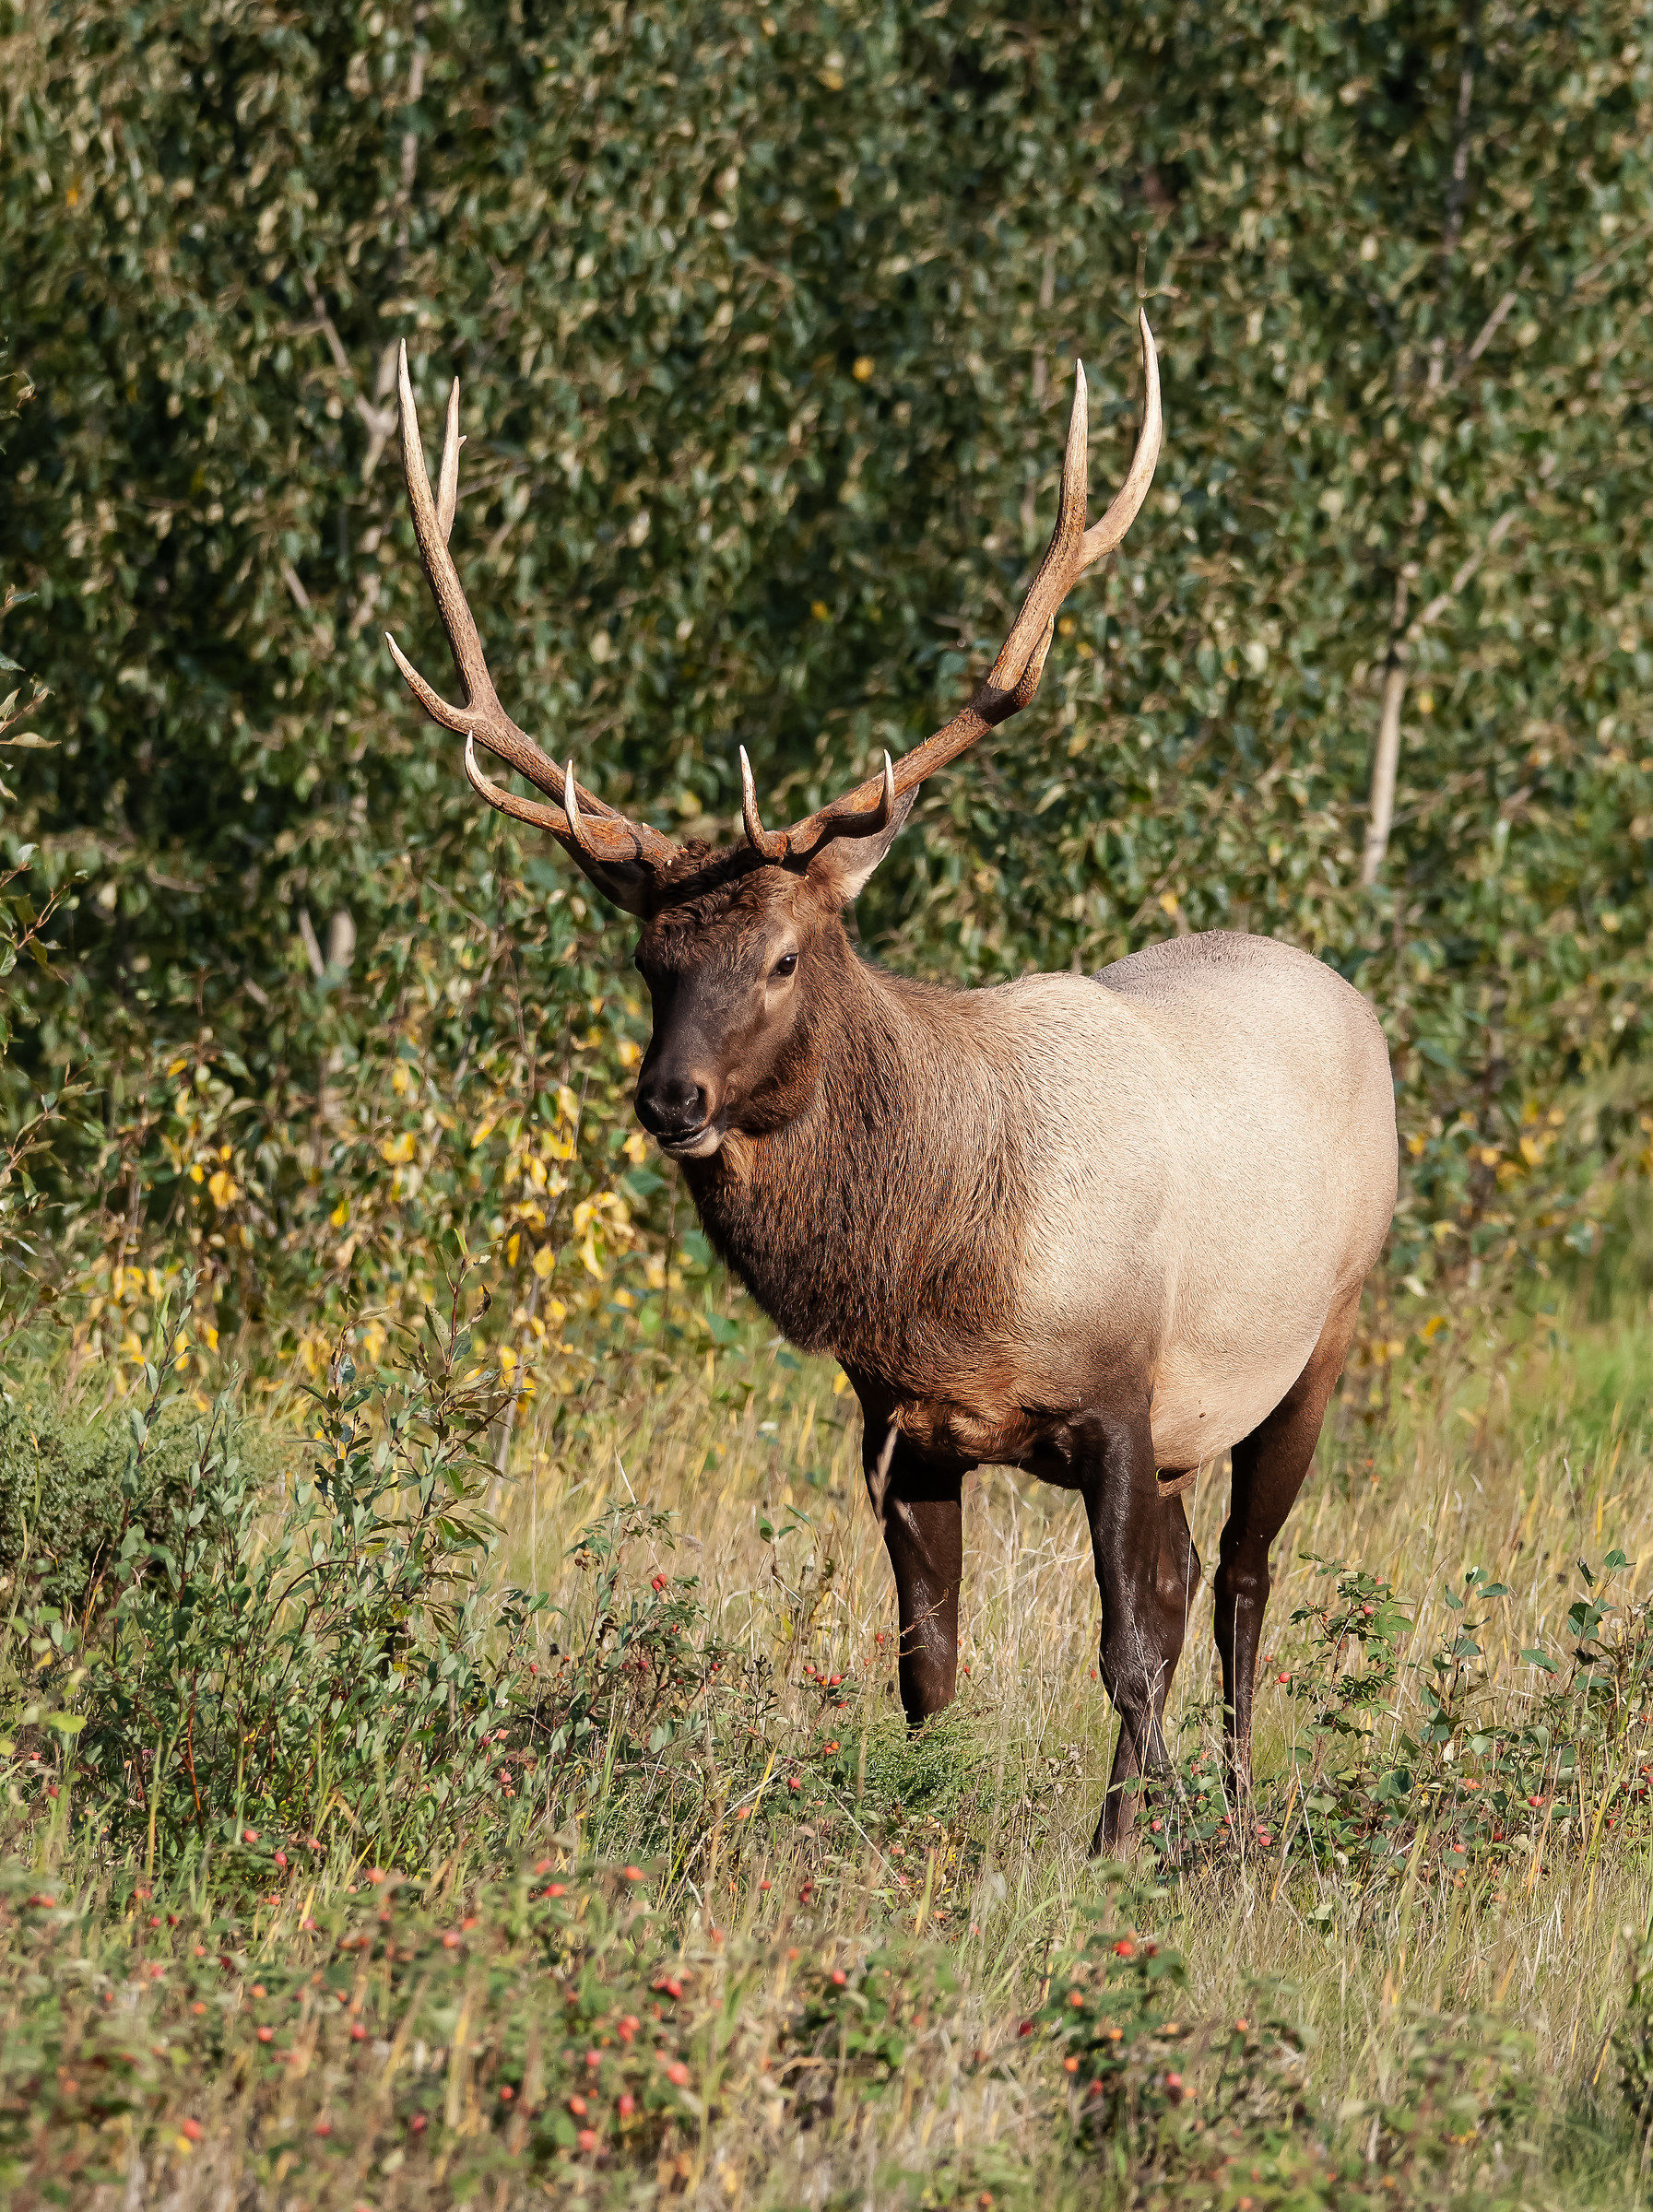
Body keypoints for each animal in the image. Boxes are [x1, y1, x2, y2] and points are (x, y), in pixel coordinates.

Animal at [385, 315, 1398, 1853]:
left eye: (786, 954)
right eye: (646, 954)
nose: (669, 1099)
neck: (945, 1265)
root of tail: (1348, 998)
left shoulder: (1121, 1393)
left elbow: (1126, 1647)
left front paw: (1118, 1847)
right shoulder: (904, 1423)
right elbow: (928, 1664)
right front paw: (936, 1826)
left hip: (1316, 1336)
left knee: (1236, 1583)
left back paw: (1221, 1816)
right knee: (1187, 1582)